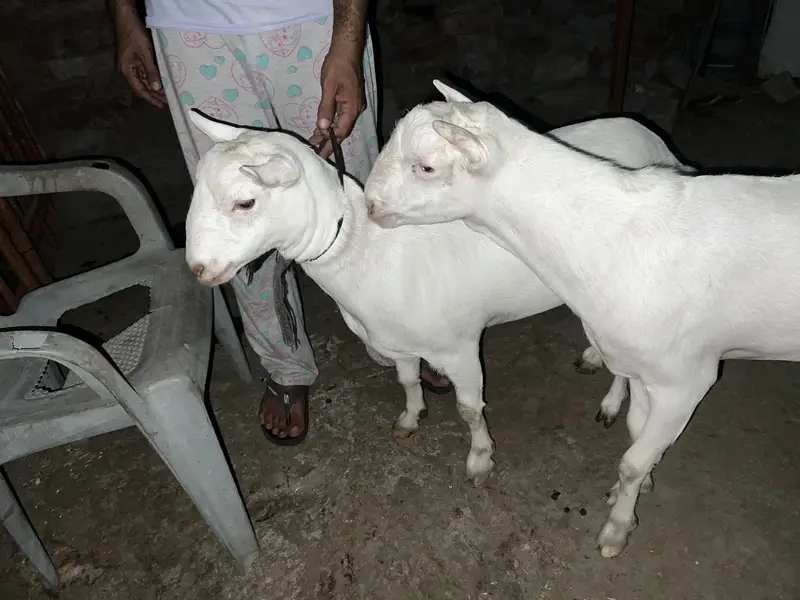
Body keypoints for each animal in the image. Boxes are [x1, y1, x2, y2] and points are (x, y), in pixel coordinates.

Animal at [184, 109, 683, 488]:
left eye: (245, 203)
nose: (197, 268)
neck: (370, 253)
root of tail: (654, 140)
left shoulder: (459, 345)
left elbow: (469, 409)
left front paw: (480, 459)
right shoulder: (400, 343)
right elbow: (407, 381)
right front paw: (410, 418)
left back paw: (611, 402)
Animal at [364, 79, 800, 557]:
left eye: (425, 167)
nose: (369, 205)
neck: (607, 235)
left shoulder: (684, 380)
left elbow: (631, 462)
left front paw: (617, 528)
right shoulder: (645, 369)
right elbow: (636, 433)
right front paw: (640, 484)